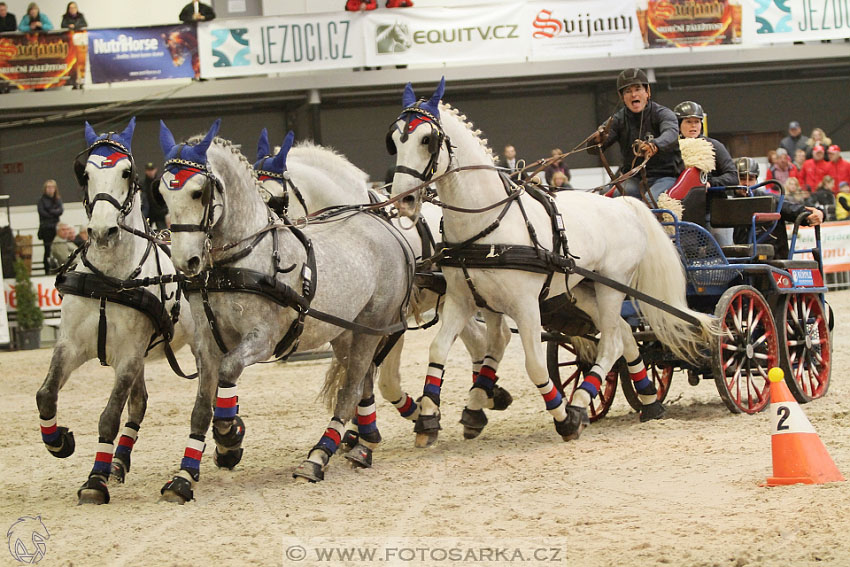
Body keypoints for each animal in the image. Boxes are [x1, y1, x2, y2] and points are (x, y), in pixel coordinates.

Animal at [35, 118, 193, 506]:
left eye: (126, 172)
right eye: (85, 173)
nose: (102, 231)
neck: (108, 279)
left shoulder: (129, 356)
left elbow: (109, 416)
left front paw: (95, 480)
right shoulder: (71, 345)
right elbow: (46, 395)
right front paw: (59, 441)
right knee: (139, 404)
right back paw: (119, 463)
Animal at [156, 120, 414, 502]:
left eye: (199, 192)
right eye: (162, 192)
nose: (185, 262)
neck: (241, 258)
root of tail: (387, 229)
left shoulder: (263, 338)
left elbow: (229, 372)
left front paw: (229, 438)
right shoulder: (206, 342)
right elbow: (202, 406)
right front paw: (184, 475)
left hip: (372, 325)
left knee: (351, 389)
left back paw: (318, 457)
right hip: (344, 332)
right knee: (362, 381)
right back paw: (360, 445)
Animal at [253, 129, 510, 440]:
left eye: (274, 201)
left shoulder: (390, 318)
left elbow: (383, 378)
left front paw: (406, 417)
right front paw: (363, 428)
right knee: (480, 341)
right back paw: (485, 396)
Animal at [388, 79, 712, 448]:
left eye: (426, 139)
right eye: (394, 140)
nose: (403, 200)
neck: (488, 223)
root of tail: (625, 204)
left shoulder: (526, 305)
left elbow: (534, 365)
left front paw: (564, 418)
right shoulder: (461, 299)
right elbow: (438, 350)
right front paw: (428, 418)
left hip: (611, 286)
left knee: (612, 343)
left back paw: (582, 403)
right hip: (584, 290)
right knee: (625, 335)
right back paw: (648, 400)